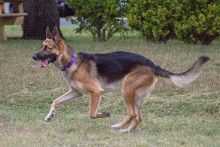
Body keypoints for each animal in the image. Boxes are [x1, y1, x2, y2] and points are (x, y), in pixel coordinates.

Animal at [31, 26, 209, 133]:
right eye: (41, 46)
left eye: (47, 48)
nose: (33, 56)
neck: (72, 62)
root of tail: (152, 65)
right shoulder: (75, 93)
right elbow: (55, 101)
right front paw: (49, 116)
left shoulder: (96, 92)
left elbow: (91, 113)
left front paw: (104, 114)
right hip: (135, 96)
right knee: (138, 117)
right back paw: (126, 130)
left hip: (127, 90)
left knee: (132, 114)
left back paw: (118, 125)